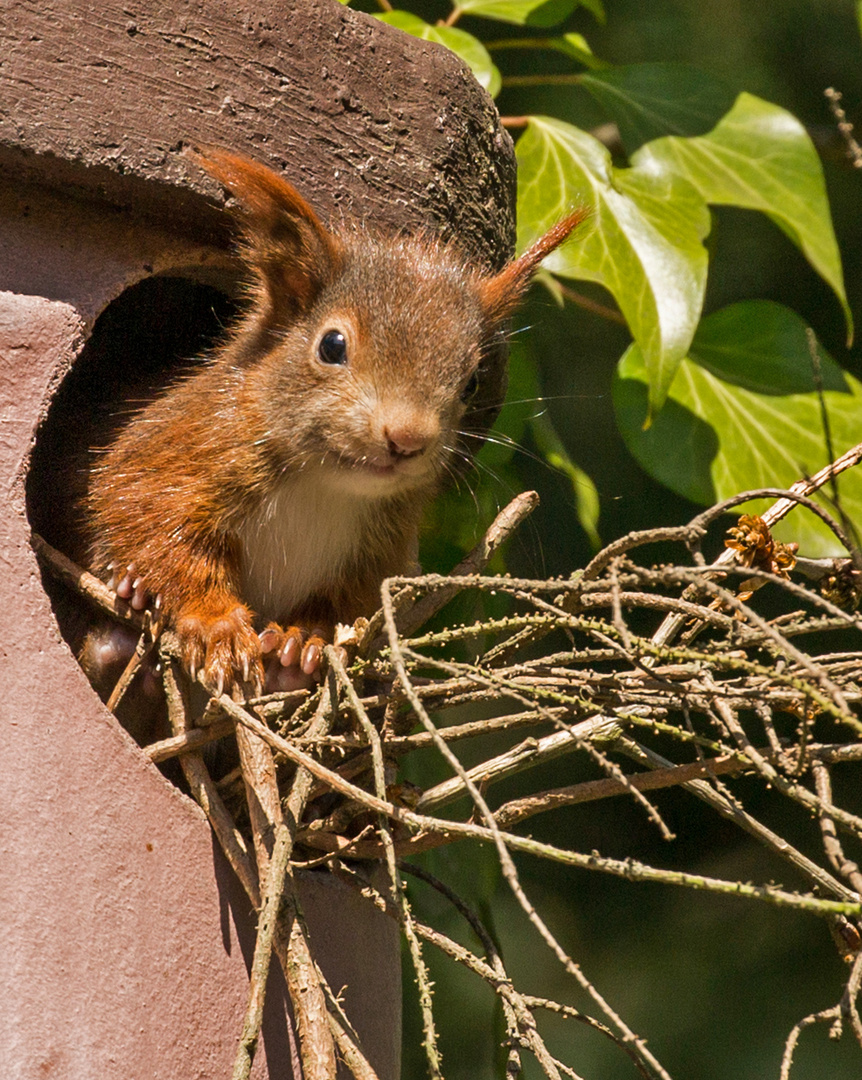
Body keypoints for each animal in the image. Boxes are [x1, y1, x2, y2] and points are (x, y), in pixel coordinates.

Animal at [84, 145, 583, 691]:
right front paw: (218, 627)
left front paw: (302, 641)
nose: (407, 438)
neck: (324, 483)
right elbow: (150, 522)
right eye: (332, 345)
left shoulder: (379, 551)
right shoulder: (178, 447)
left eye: (472, 381)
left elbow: (343, 604)